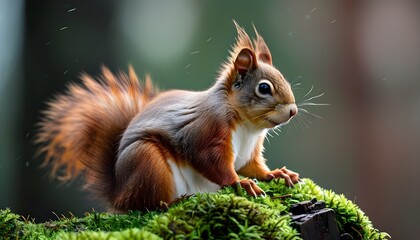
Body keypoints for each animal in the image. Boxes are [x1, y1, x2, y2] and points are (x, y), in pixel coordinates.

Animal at [36, 22, 298, 212]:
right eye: (263, 88)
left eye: (284, 78)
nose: (293, 111)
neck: (247, 127)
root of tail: (119, 194)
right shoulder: (207, 130)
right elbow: (211, 162)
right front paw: (240, 183)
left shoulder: (249, 151)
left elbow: (251, 166)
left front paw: (277, 174)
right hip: (147, 161)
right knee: (147, 205)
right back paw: (175, 201)